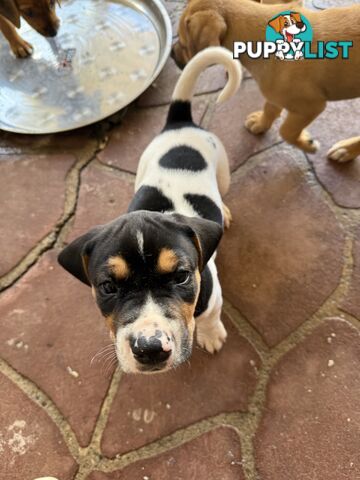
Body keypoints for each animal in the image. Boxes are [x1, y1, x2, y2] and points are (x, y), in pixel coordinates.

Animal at [58, 47, 242, 374]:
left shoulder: (213, 296)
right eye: (108, 286)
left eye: (181, 276)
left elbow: (210, 316)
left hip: (223, 171)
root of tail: (179, 123)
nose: (150, 349)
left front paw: (211, 335)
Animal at [172, 0, 360, 162]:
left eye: (182, 42)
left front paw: (306, 143)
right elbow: (270, 108)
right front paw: (260, 123)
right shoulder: (275, 93)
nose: (172, 55)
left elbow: (286, 131)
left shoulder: (310, 107)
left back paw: (346, 150)